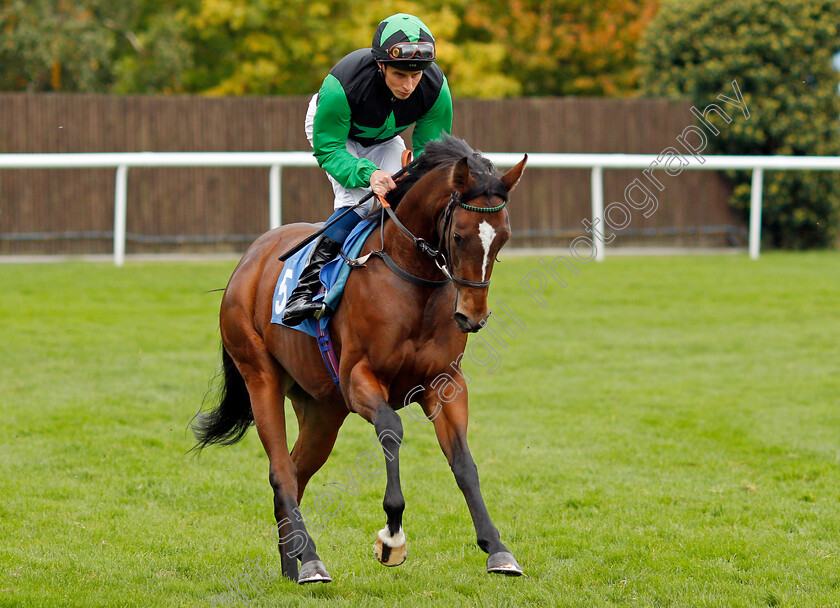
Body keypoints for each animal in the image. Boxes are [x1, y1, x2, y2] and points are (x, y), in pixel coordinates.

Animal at [194, 135, 528, 580]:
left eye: (504, 237)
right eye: (458, 236)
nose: (472, 317)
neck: (412, 280)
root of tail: (248, 260)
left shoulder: (444, 383)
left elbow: (463, 462)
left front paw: (498, 549)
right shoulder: (359, 379)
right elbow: (391, 429)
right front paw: (392, 537)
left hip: (322, 408)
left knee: (296, 471)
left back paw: (292, 565)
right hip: (260, 375)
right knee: (281, 472)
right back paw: (311, 560)